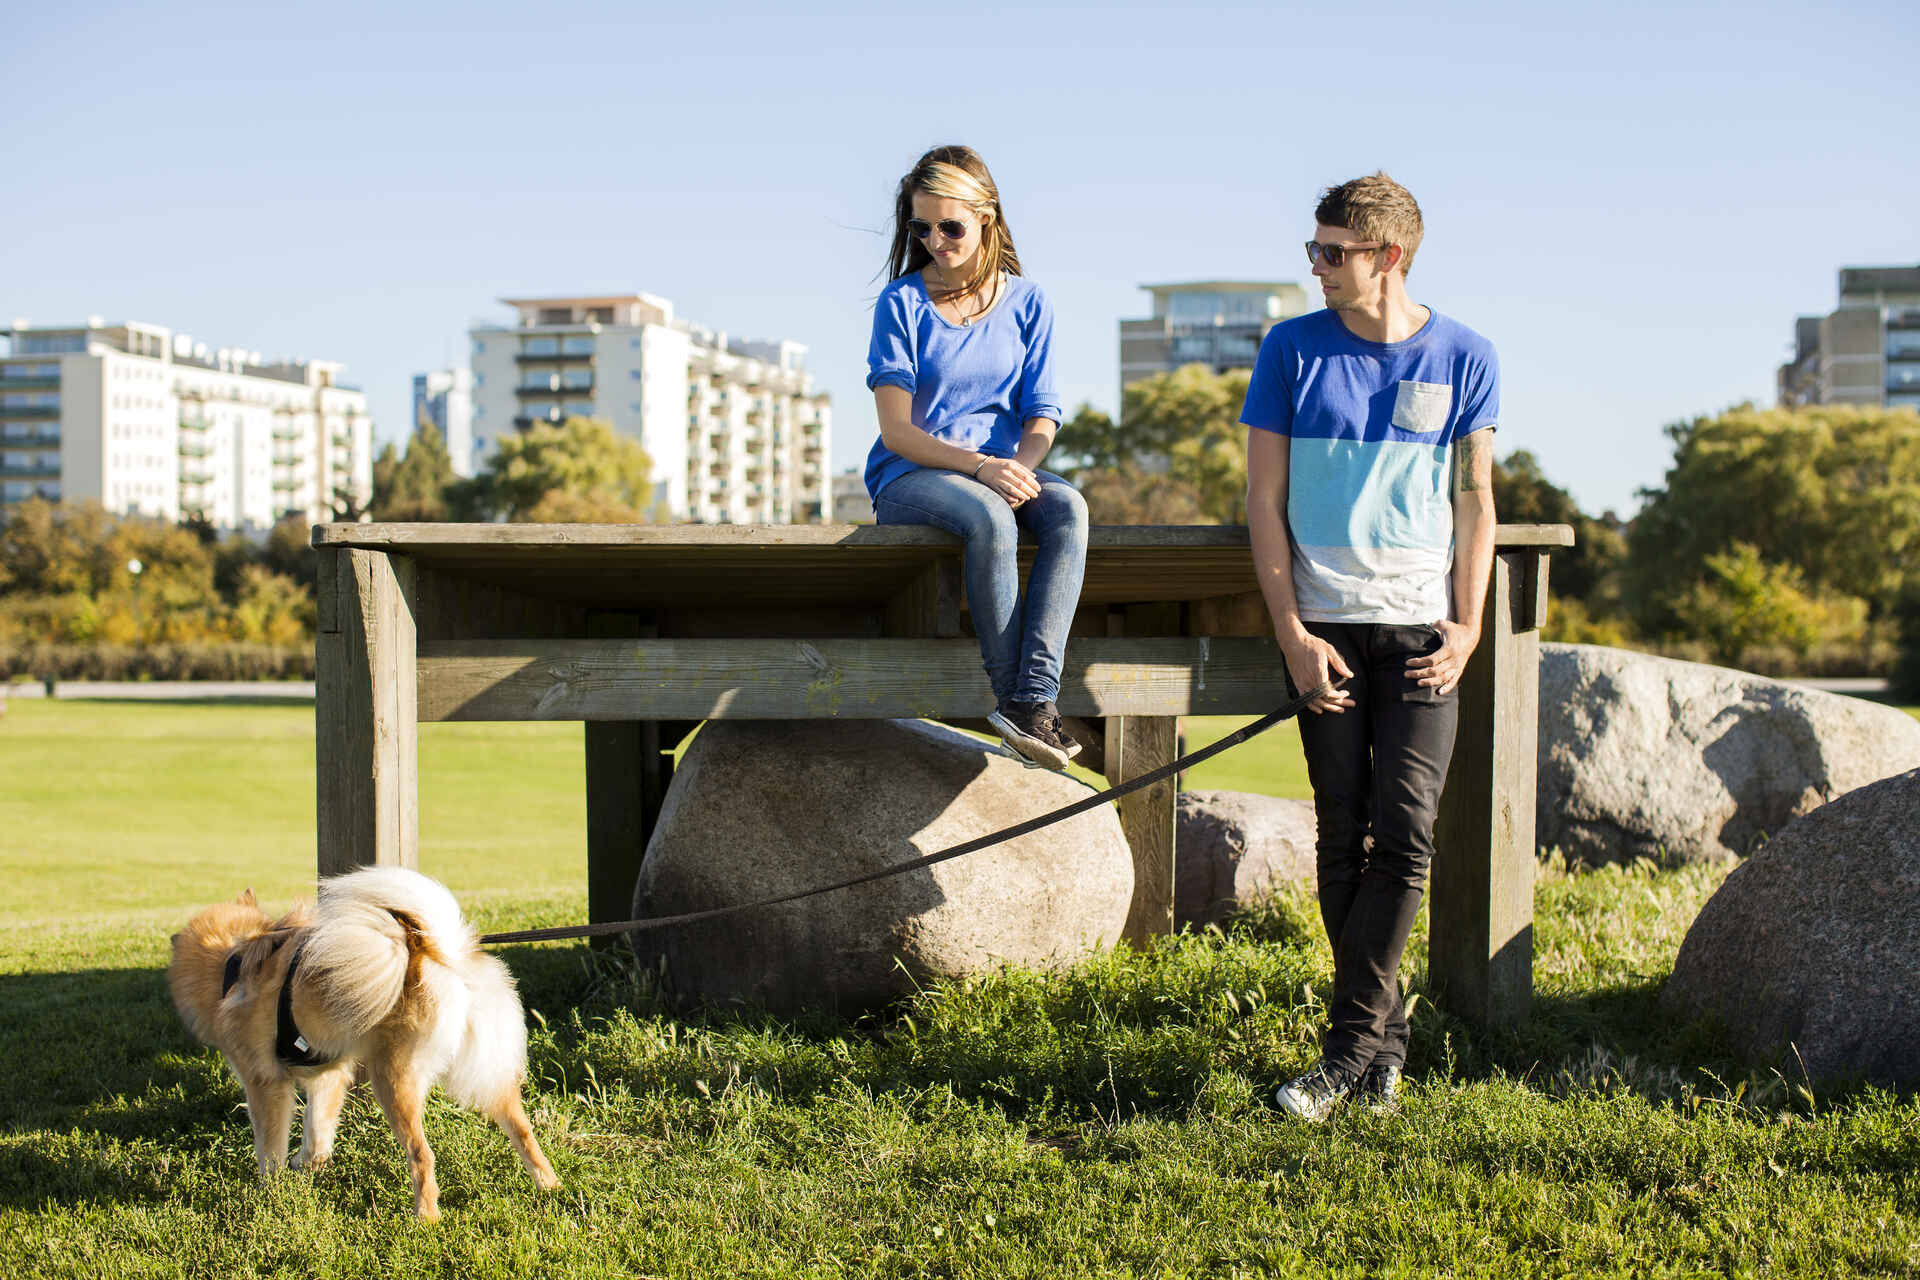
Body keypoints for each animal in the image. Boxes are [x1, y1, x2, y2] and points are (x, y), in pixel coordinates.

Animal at [168, 871, 560, 1220]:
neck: (233, 960)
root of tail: (437, 951)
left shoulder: (265, 1084)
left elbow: (270, 1146)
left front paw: (269, 1190)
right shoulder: (327, 1075)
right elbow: (317, 1132)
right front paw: (307, 1164)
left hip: (391, 1080)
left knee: (422, 1154)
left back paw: (426, 1216)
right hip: (489, 1075)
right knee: (523, 1131)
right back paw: (549, 1185)